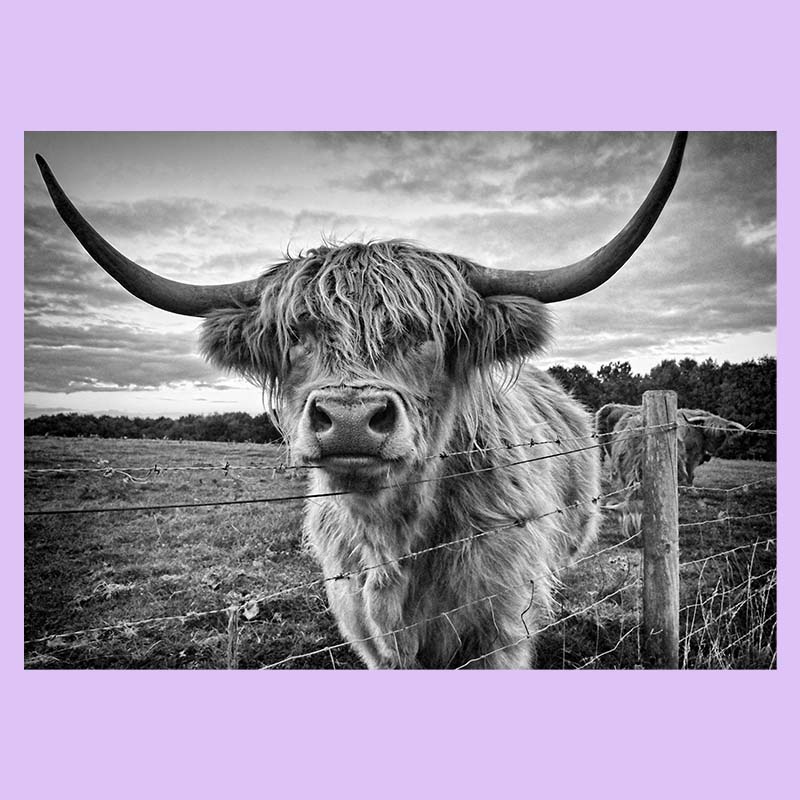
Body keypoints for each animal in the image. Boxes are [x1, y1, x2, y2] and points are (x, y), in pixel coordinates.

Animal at [35, 132, 686, 668]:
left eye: (426, 334)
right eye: (296, 335)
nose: (349, 419)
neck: (392, 540)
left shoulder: (502, 630)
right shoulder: (366, 632)